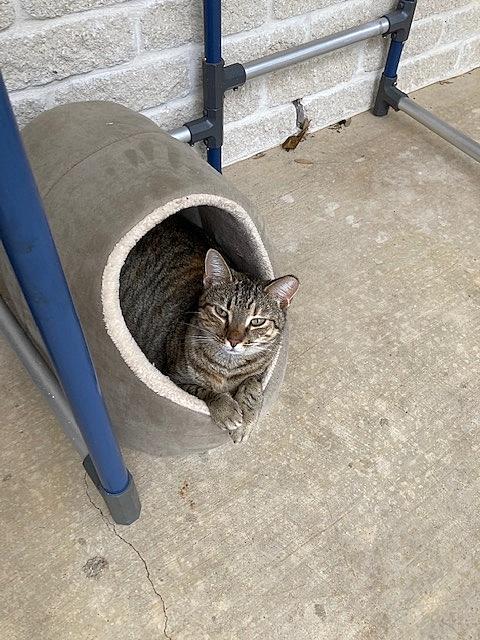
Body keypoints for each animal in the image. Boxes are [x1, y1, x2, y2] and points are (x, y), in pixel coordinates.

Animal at [119, 215, 299, 443]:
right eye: (221, 312)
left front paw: (246, 416)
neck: (227, 366)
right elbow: (202, 390)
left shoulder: (260, 373)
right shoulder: (175, 378)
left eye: (257, 321)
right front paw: (226, 409)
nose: (234, 340)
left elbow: (251, 383)